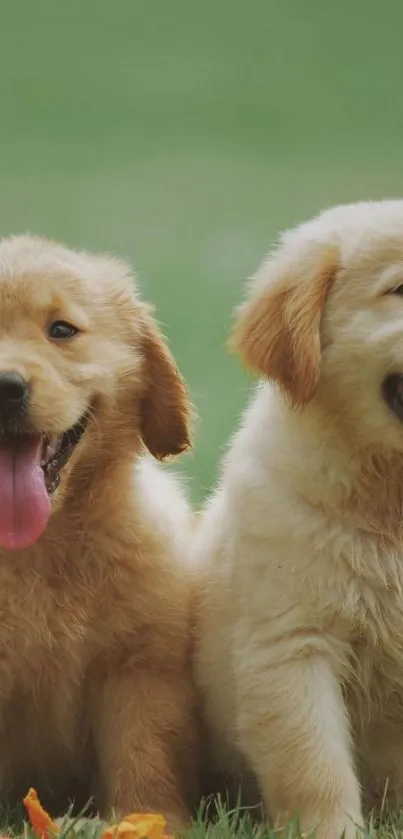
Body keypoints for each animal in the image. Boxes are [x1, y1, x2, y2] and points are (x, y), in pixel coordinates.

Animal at [0, 233, 199, 832]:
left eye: (62, 330)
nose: (5, 387)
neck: (35, 551)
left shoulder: (139, 667)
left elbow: (144, 755)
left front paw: (150, 821)